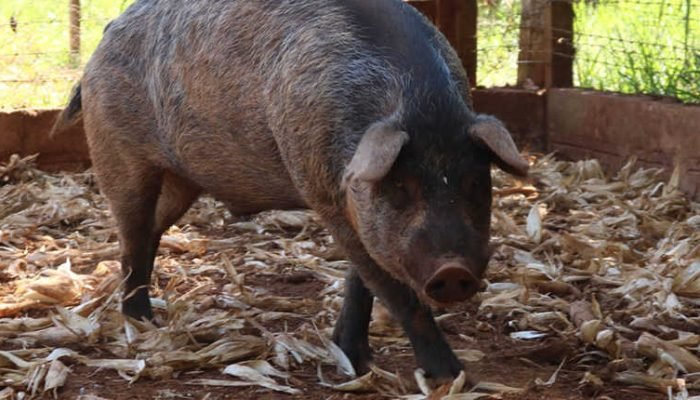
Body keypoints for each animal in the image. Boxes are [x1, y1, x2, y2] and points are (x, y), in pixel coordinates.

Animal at [52, 0, 528, 381]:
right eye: (400, 185)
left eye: (475, 182)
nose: (453, 270)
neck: (417, 103)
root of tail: (103, 40)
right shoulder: (322, 188)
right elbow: (391, 289)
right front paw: (453, 377)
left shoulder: (352, 205)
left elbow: (363, 279)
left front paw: (355, 359)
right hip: (118, 150)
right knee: (131, 234)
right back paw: (142, 322)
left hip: (181, 180)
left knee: (150, 233)